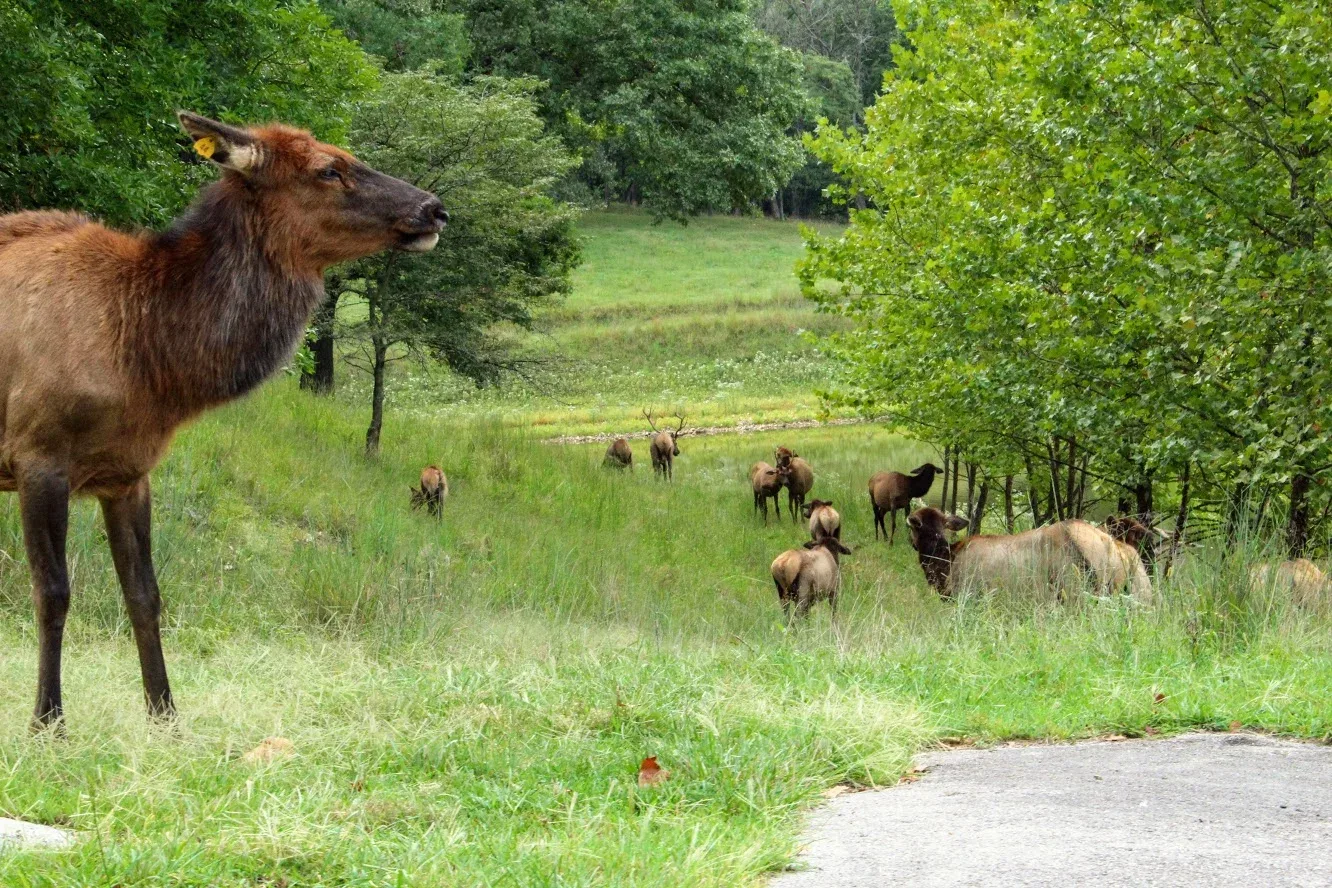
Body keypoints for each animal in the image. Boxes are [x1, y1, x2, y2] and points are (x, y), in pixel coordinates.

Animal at [0, 111, 447, 730]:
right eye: (328, 169)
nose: (435, 209)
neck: (147, 357)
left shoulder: (128, 473)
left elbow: (145, 594)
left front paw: (166, 717)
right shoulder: (38, 454)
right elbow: (52, 591)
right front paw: (48, 723)